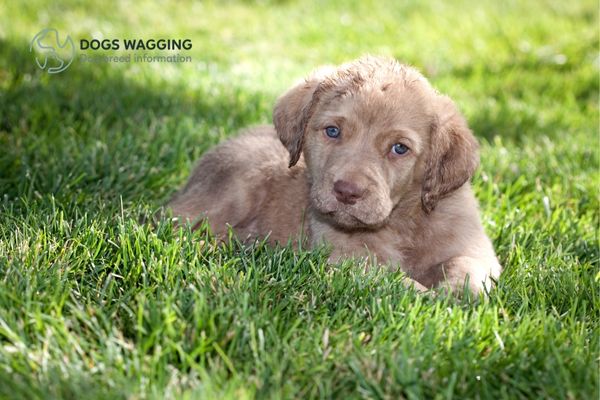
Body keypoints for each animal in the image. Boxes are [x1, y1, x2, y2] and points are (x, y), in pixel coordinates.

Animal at [165, 55, 502, 294]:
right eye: (332, 131)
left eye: (399, 148)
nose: (347, 192)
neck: (403, 221)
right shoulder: (348, 260)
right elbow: (395, 281)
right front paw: (427, 296)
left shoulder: (474, 246)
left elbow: (468, 271)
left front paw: (455, 293)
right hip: (236, 187)